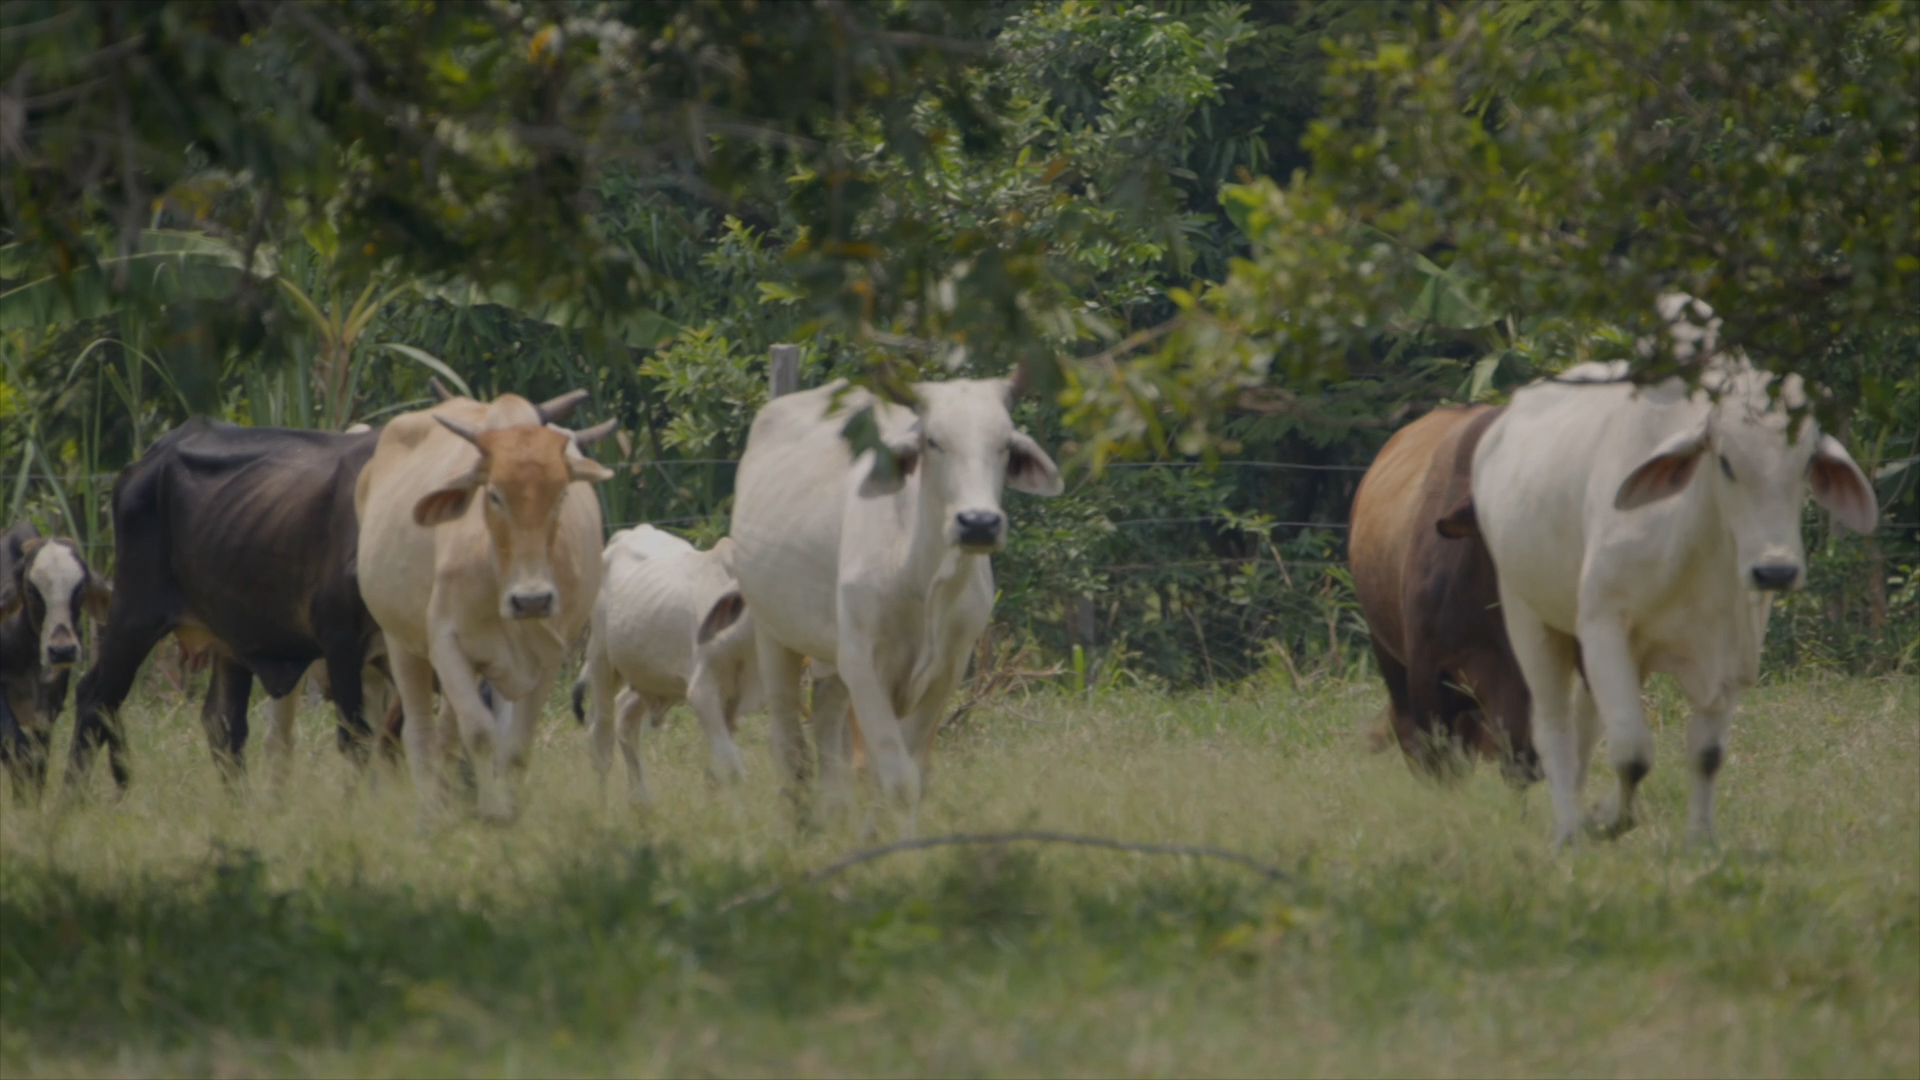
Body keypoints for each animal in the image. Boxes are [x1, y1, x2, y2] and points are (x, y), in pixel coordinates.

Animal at [351, 384, 606, 814]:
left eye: (561, 494)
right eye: (494, 494)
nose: (532, 600)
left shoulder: (548, 657)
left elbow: (514, 747)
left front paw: (507, 809)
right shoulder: (446, 644)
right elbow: (480, 735)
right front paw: (489, 812)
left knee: (447, 736)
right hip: (402, 643)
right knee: (421, 734)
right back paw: (431, 811)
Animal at [729, 372, 1075, 822]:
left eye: (1004, 443)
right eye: (933, 441)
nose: (978, 523)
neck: (922, 577)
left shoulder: (947, 669)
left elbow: (909, 776)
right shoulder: (864, 663)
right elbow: (897, 780)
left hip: (832, 655)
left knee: (827, 725)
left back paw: (832, 817)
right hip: (774, 634)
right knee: (790, 744)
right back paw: (798, 823)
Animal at [1466, 295, 1873, 849]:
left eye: (1807, 463)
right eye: (1725, 461)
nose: (1775, 571)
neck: (1696, 549)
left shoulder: (1733, 650)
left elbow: (1706, 755)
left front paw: (1698, 838)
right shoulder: (1604, 625)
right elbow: (1632, 752)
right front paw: (1609, 820)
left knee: (1586, 725)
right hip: (1529, 616)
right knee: (1555, 728)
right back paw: (1568, 831)